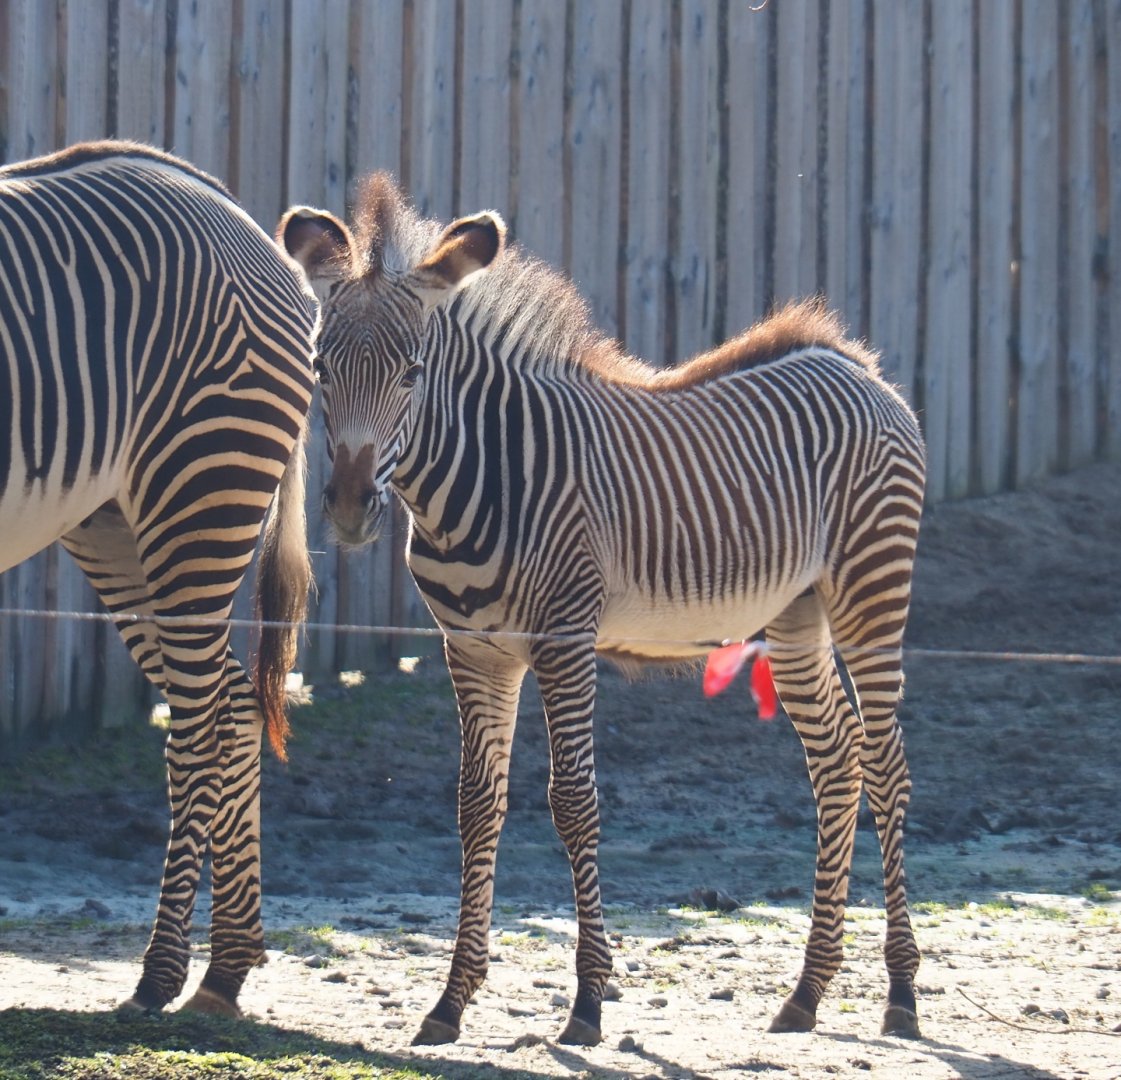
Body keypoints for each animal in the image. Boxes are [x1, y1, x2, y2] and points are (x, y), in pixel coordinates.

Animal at [0, 141, 316, 1016]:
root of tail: (223, 202)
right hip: (113, 524)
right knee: (233, 699)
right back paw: (226, 968)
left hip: (202, 488)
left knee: (202, 717)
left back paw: (161, 972)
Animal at [279, 175, 926, 1046]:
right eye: (320, 369)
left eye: (412, 373)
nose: (349, 510)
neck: (479, 477)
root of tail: (853, 363)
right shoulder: (473, 650)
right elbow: (475, 805)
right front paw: (450, 1001)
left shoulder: (564, 639)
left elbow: (573, 802)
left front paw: (586, 1001)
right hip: (795, 616)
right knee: (837, 760)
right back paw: (806, 992)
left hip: (869, 592)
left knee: (886, 765)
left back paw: (900, 992)